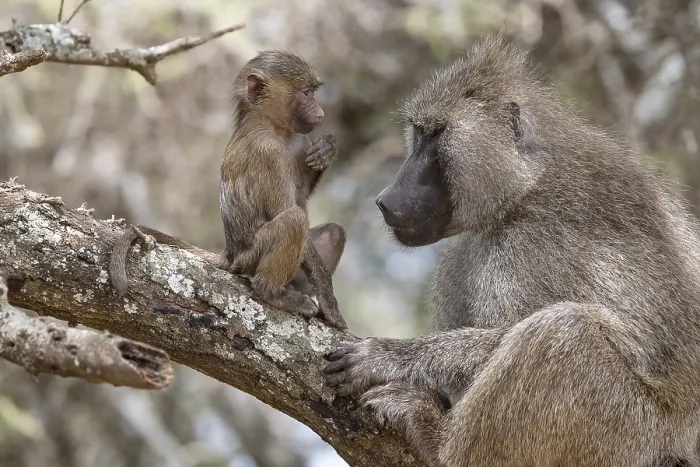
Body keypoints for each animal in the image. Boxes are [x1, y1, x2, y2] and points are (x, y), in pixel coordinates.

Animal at [110, 50, 347, 330]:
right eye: (306, 93)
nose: (320, 114)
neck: (271, 125)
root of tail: (231, 255)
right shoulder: (268, 152)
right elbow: (288, 208)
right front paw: (329, 300)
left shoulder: (300, 141)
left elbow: (302, 196)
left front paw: (327, 150)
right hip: (251, 258)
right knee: (294, 220)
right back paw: (273, 293)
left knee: (334, 232)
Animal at [323, 32, 700, 467]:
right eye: (418, 134)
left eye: (436, 135)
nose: (386, 199)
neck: (522, 190)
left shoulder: (534, 244)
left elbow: (504, 336)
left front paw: (389, 355)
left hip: (633, 436)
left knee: (565, 330)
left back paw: (436, 443)